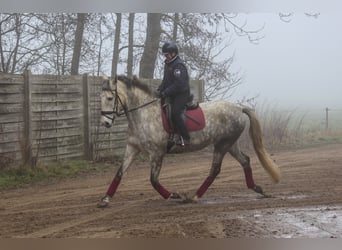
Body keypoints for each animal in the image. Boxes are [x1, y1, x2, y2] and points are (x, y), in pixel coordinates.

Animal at [97, 75, 280, 208]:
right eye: (101, 97)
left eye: (110, 98)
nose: (105, 123)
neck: (143, 114)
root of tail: (238, 107)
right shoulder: (132, 148)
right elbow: (119, 173)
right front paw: (105, 199)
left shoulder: (156, 152)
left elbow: (153, 181)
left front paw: (173, 195)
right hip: (230, 144)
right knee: (245, 161)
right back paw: (257, 189)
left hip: (222, 144)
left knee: (215, 170)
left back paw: (193, 197)